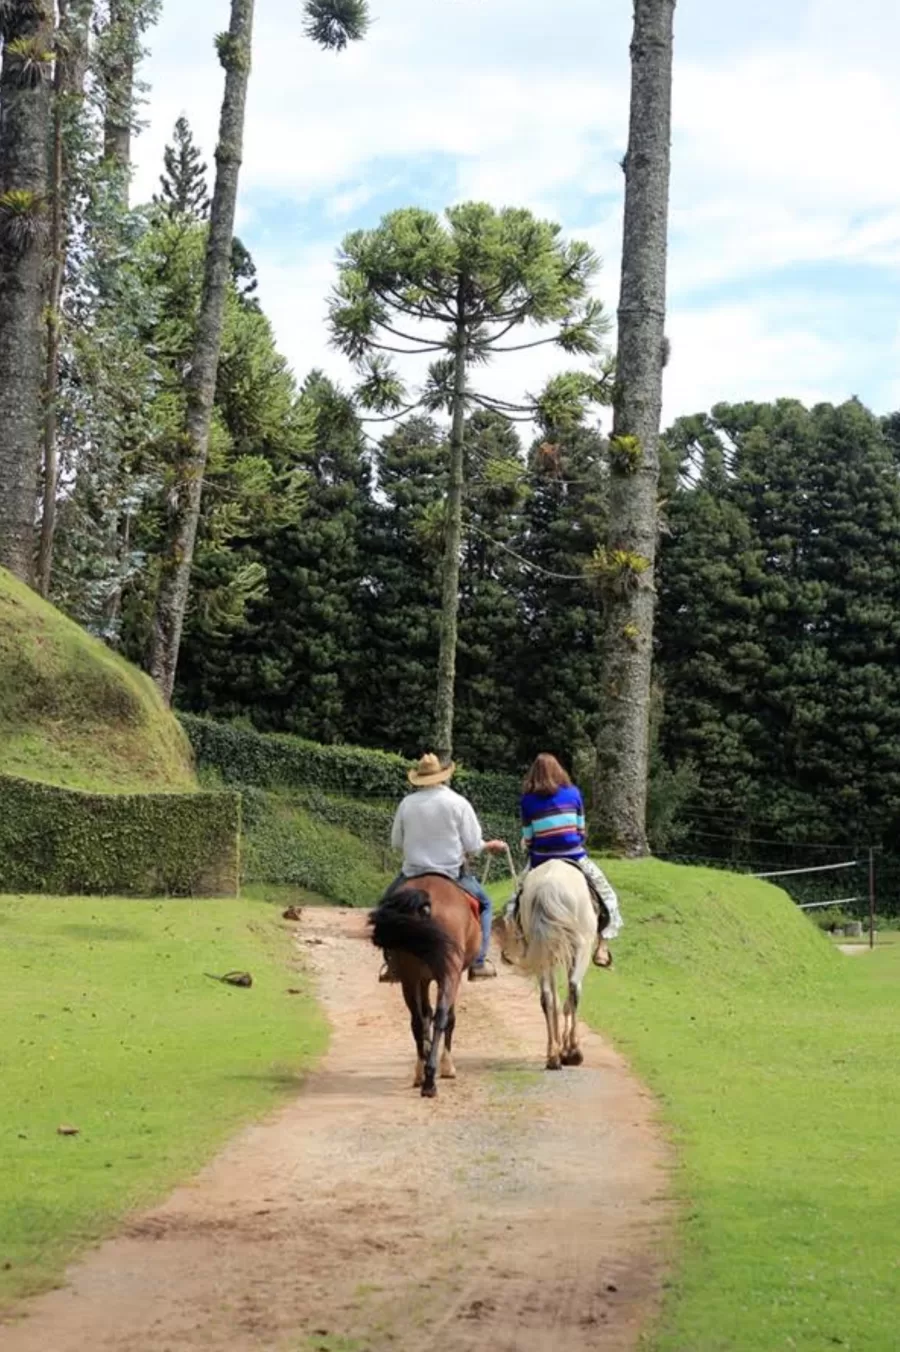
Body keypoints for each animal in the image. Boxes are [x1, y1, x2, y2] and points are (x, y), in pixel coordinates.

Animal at [367, 876, 481, 1097]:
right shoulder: (452, 976)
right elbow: (448, 1017)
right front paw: (447, 1067)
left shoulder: (423, 979)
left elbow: (426, 1014)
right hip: (448, 972)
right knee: (442, 1016)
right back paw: (430, 1078)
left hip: (409, 976)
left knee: (418, 1020)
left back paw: (423, 1075)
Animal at [491, 859, 594, 1070]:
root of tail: (548, 887)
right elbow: (568, 996)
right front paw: (567, 1049)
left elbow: (554, 998)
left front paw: (559, 1048)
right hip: (581, 945)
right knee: (573, 988)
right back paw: (573, 1051)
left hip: (541, 947)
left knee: (546, 996)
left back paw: (553, 1055)